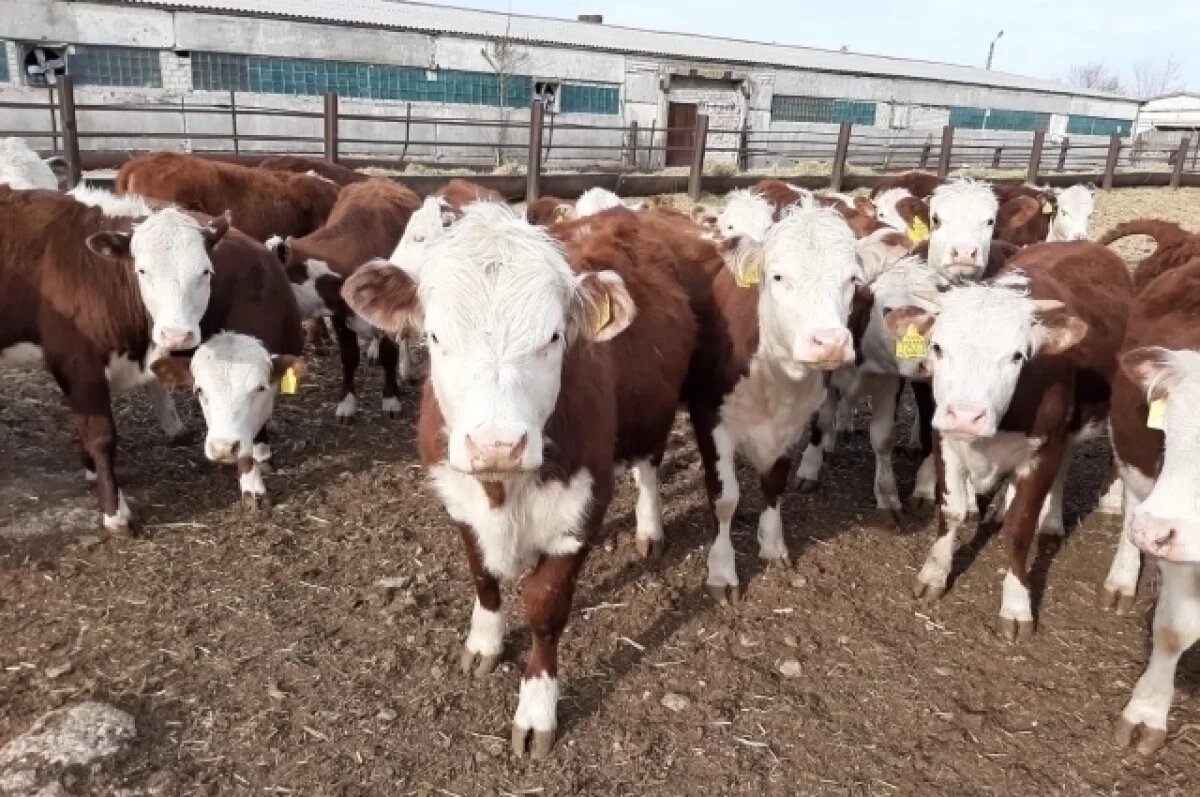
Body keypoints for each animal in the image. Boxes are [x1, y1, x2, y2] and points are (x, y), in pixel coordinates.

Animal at [268, 178, 421, 422]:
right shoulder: (339, 316)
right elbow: (349, 358)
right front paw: (347, 404)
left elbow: (389, 355)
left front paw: (391, 399)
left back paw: (407, 368)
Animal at [341, 203, 696, 758]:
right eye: (436, 336)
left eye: (553, 337)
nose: (496, 444)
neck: (501, 490)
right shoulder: (458, 501)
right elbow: (483, 578)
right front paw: (484, 642)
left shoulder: (578, 515)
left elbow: (546, 613)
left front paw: (536, 709)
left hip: (652, 414)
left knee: (649, 468)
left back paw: (649, 528)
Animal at [884, 242, 1132, 640]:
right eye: (937, 347)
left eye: (1017, 355)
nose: (965, 416)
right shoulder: (944, 440)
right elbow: (951, 511)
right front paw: (934, 573)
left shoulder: (1042, 449)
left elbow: (1019, 529)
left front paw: (1016, 606)